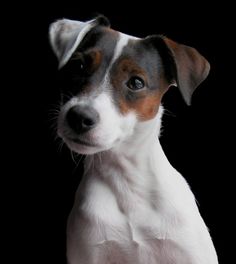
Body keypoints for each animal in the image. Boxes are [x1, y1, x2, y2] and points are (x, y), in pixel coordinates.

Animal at [48, 14, 218, 264]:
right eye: (78, 66)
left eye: (136, 83)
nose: (78, 117)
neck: (127, 182)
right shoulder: (88, 252)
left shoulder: (192, 254)